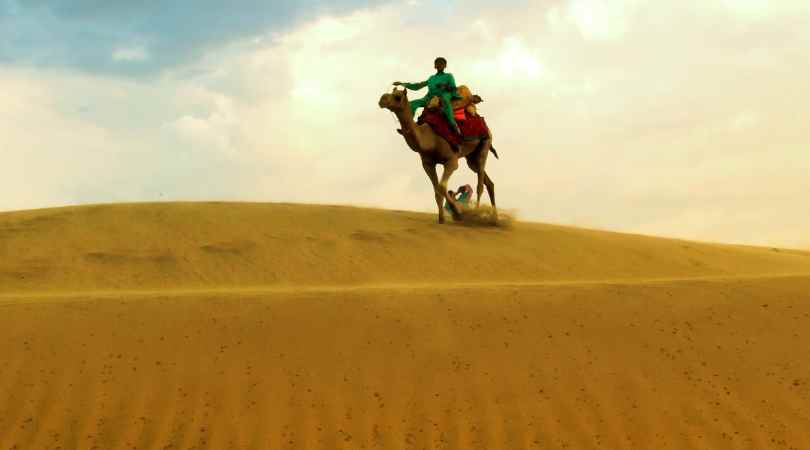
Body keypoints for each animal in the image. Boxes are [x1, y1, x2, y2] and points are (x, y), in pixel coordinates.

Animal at [376, 87, 496, 224]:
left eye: (397, 96)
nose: (382, 99)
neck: (430, 139)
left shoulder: (451, 161)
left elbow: (442, 186)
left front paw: (458, 214)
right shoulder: (428, 164)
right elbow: (436, 191)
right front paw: (441, 219)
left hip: (485, 143)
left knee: (480, 183)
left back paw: (476, 213)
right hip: (471, 157)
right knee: (488, 182)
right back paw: (495, 218)